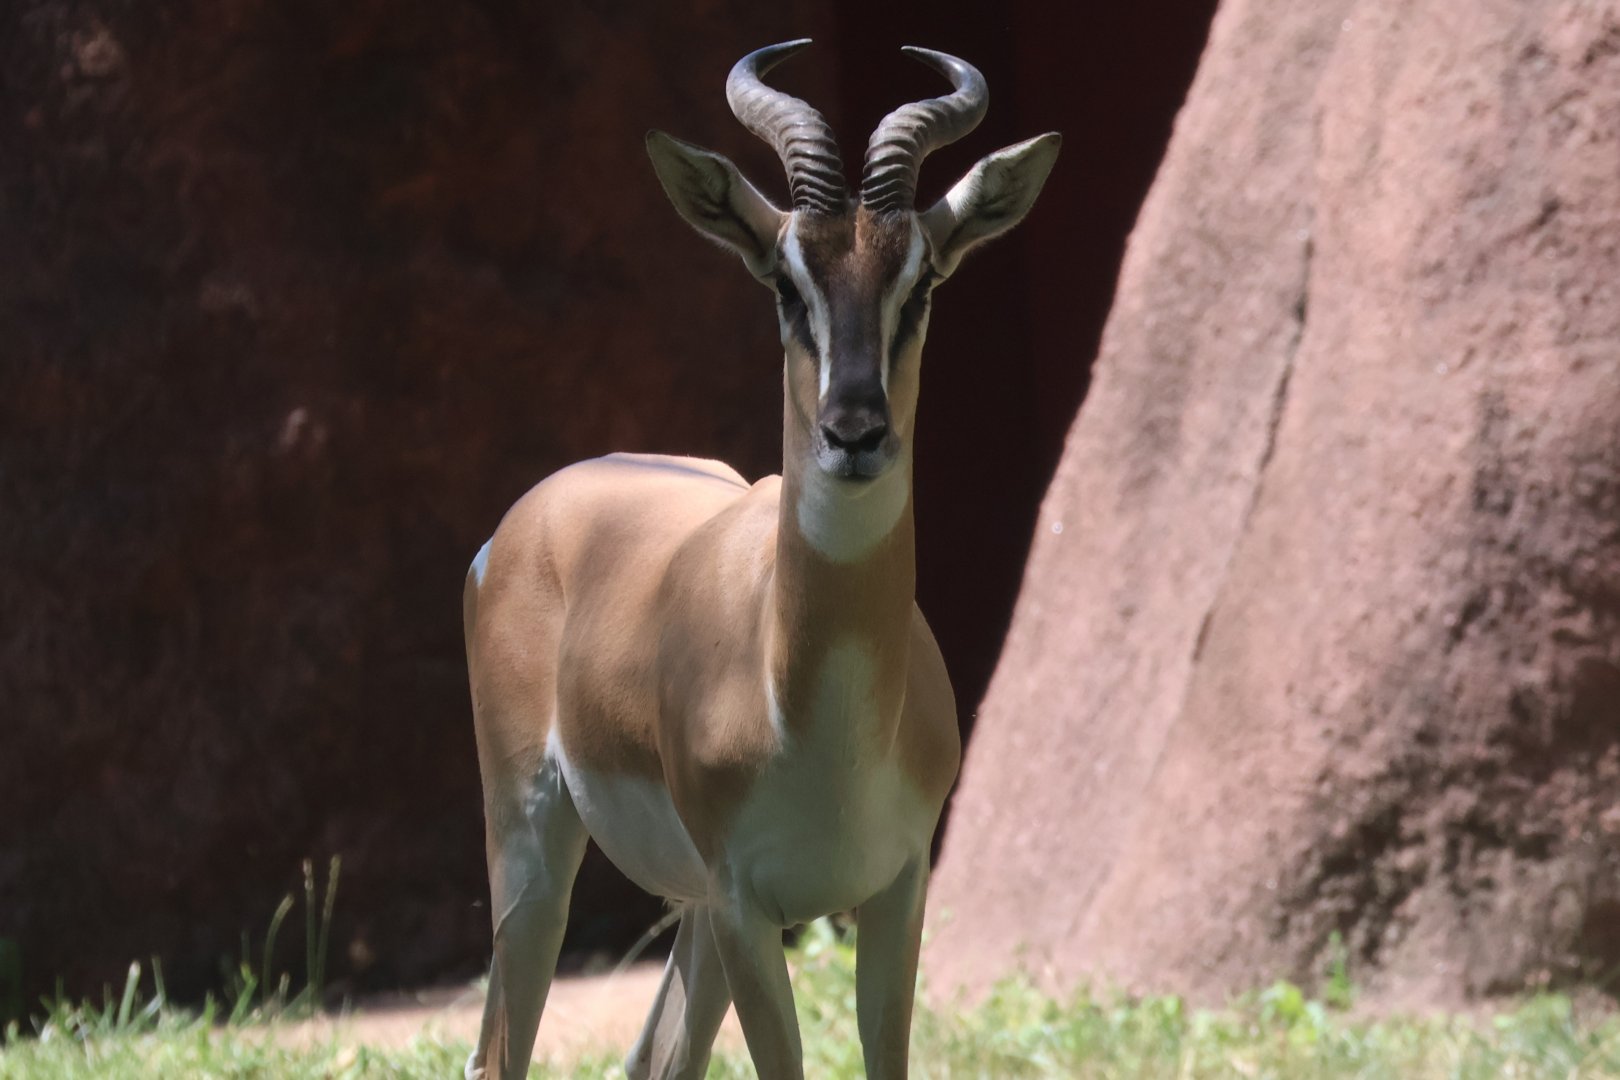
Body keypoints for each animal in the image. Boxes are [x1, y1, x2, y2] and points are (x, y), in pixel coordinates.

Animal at [463, 40, 1058, 1080]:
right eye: (786, 283)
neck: (821, 709)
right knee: (500, 1051)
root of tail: (533, 514)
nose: (855, 432)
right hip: (535, 856)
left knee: (652, 1059)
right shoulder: (749, 908)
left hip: (691, 913)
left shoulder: (895, 891)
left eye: (922, 283)